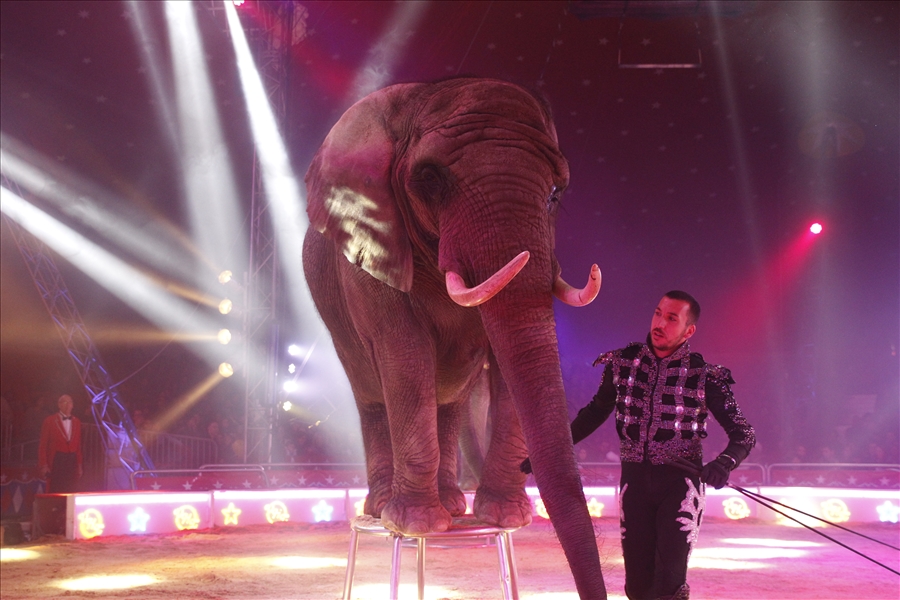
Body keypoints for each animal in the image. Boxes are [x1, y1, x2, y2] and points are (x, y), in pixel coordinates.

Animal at [302, 78, 607, 598]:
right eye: (429, 178)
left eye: (555, 192)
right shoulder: (371, 248)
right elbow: (404, 354)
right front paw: (415, 524)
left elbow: (504, 360)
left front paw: (504, 516)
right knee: (373, 393)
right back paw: (383, 508)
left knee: (447, 400)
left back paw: (453, 507)